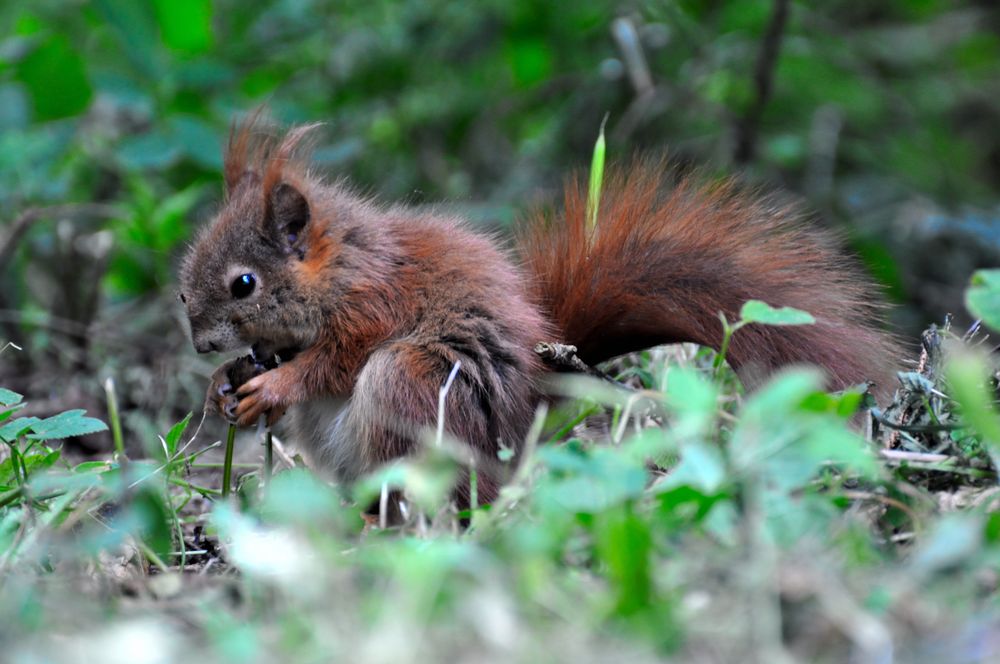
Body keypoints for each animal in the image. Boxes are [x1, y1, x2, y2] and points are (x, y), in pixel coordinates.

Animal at [178, 119, 900, 506]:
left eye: (244, 283)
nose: (201, 342)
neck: (340, 267)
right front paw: (227, 384)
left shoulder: (373, 307)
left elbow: (330, 364)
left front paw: (272, 383)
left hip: (410, 381)